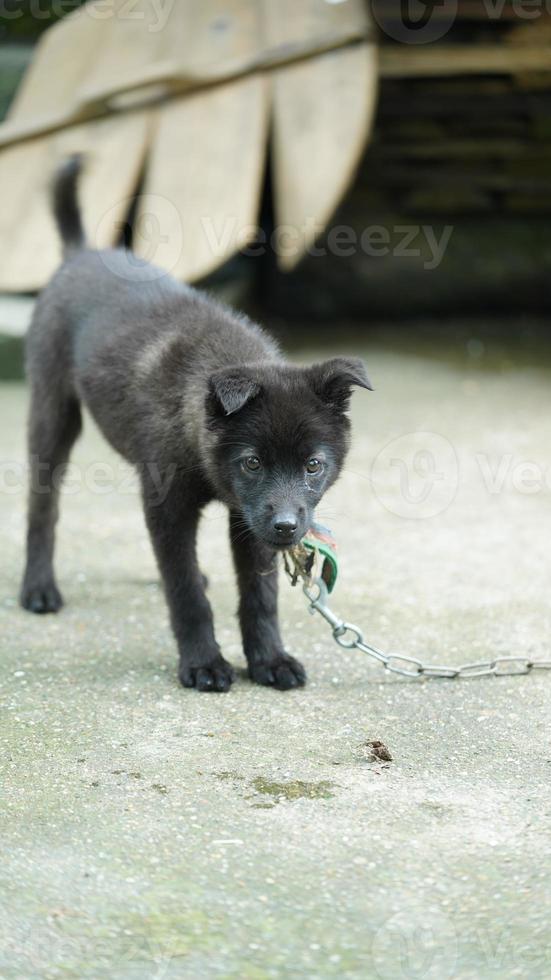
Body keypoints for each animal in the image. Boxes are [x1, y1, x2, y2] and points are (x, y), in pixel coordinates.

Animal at [20, 157, 370, 692]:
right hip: (51, 412)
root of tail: (81, 254)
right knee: (44, 507)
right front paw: (204, 663)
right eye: (251, 463)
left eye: (314, 465)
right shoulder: (170, 506)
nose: (289, 530)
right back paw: (38, 588)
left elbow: (259, 595)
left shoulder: (248, 520)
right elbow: (185, 592)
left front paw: (269, 659)